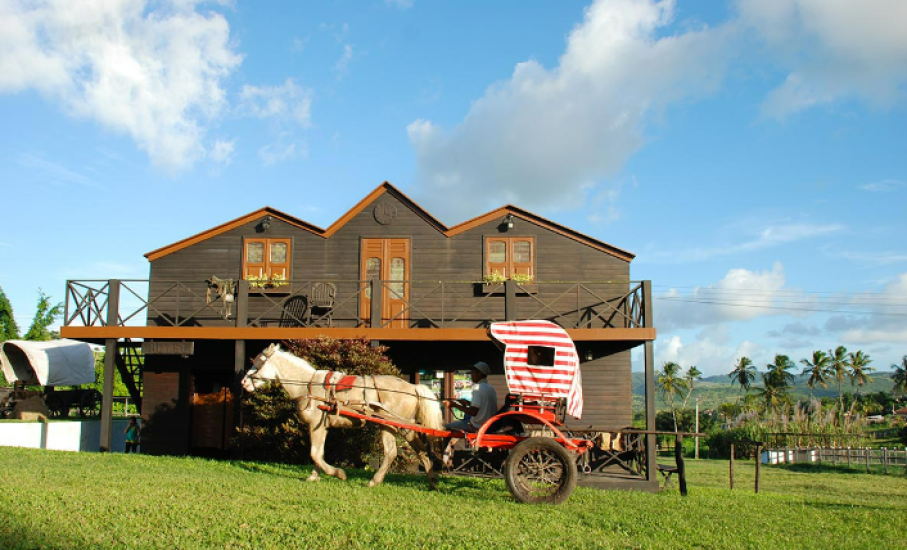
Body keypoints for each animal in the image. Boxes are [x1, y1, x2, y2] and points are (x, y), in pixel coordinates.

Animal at [239, 344, 442, 492]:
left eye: (258, 363)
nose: (243, 382)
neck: (308, 385)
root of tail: (413, 387)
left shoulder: (316, 425)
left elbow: (315, 453)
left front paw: (337, 473)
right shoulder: (322, 427)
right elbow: (318, 453)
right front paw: (314, 475)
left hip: (392, 426)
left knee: (393, 452)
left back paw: (374, 480)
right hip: (399, 427)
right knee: (419, 451)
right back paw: (431, 481)